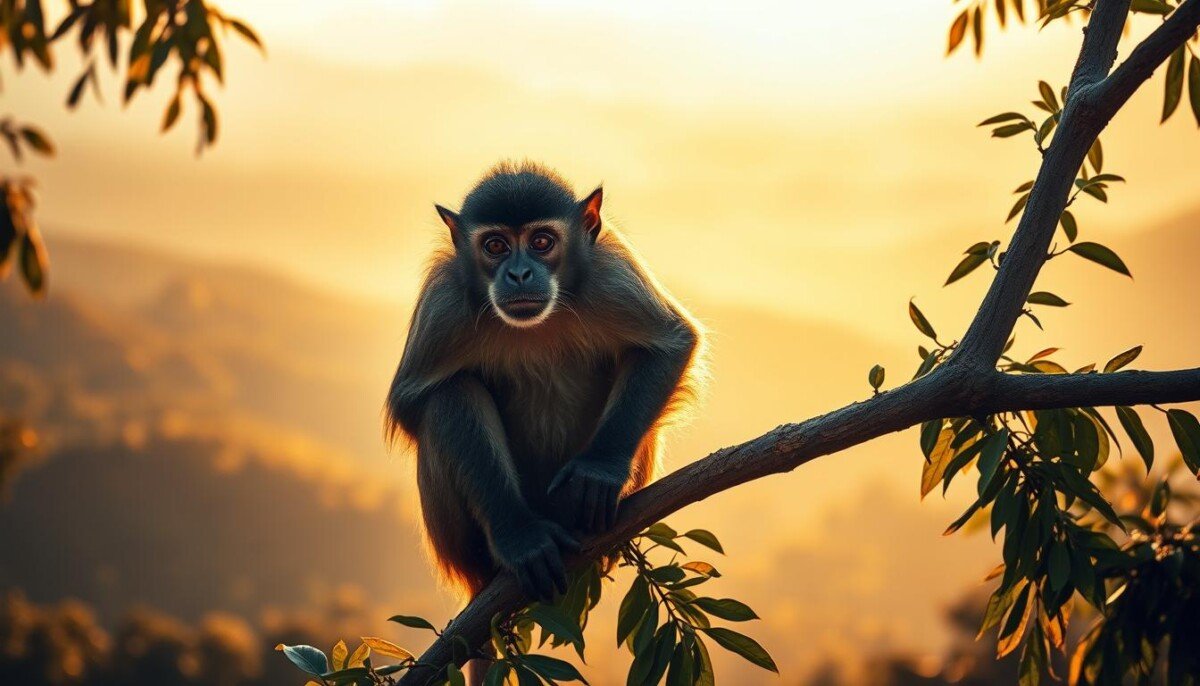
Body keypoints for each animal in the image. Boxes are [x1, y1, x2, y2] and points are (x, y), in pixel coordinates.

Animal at [385, 161, 702, 603]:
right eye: (496, 246)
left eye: (541, 241)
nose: (519, 274)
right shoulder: (444, 302)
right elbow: (416, 398)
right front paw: (521, 539)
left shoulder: (611, 274)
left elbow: (670, 344)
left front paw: (598, 470)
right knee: (452, 391)